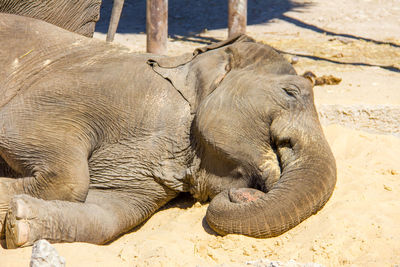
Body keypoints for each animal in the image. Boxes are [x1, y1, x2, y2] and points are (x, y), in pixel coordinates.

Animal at [0, 14, 338, 249]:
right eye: (291, 92)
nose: (245, 195)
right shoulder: (83, 89)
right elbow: (24, 136)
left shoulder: (142, 178)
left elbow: (105, 215)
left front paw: (17, 220)